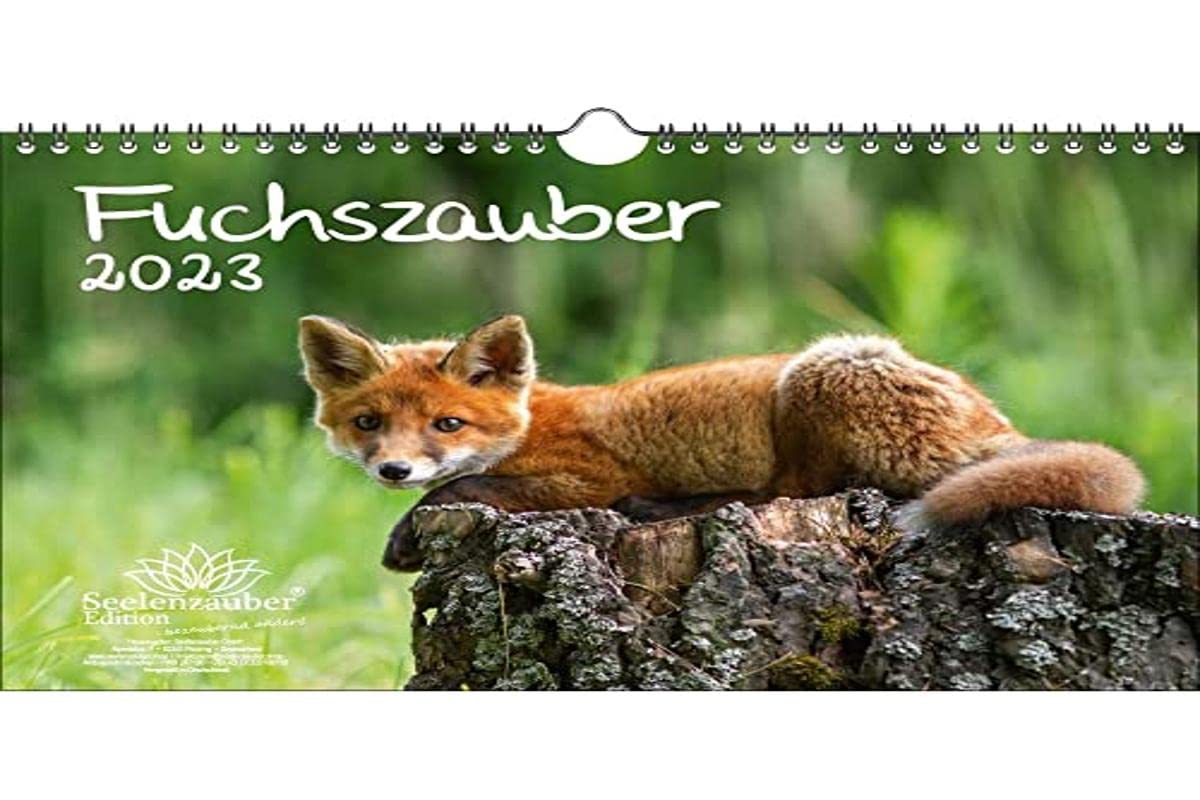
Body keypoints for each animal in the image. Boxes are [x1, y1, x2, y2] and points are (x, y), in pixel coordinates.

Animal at [298, 314, 1146, 572]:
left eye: (447, 424)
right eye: (369, 423)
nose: (392, 467)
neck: (533, 421)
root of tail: (997, 422)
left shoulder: (581, 480)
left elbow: (461, 486)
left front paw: (406, 533)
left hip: (822, 373)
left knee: (795, 490)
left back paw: (671, 503)